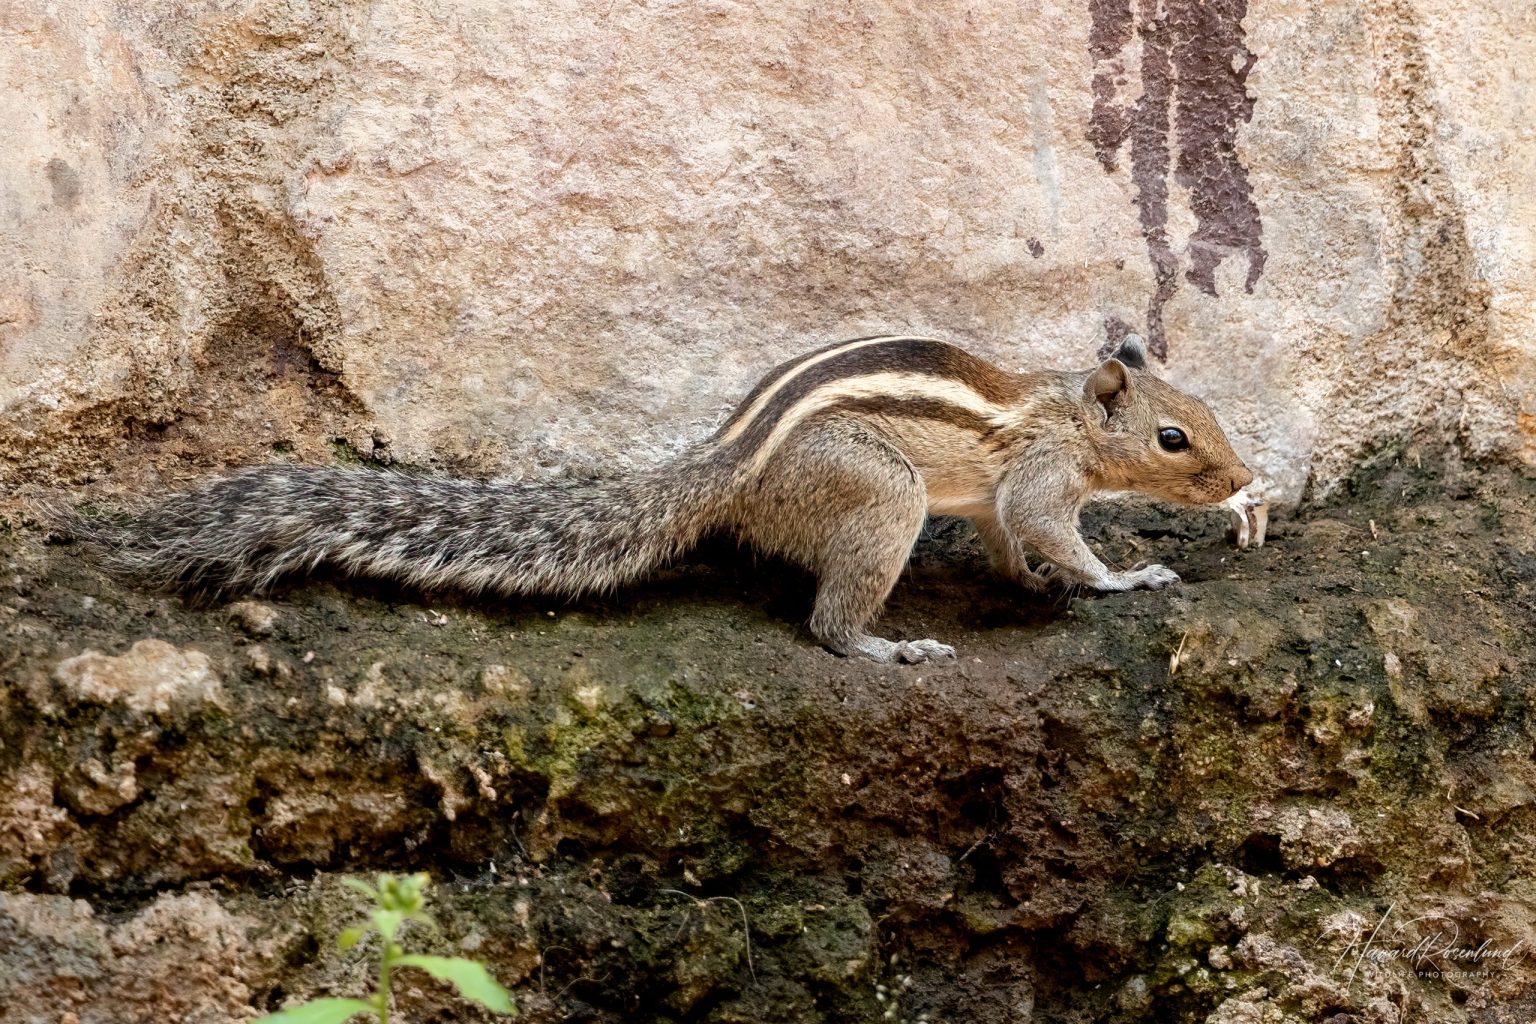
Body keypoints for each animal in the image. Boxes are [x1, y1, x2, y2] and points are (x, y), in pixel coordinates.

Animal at [70, 334, 1253, 664]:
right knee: (826, 621)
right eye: (1174, 436)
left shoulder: (998, 500)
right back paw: (884, 644)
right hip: (884, 497)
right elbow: (1059, 530)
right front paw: (1126, 576)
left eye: (1202, 410)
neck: (1065, 411)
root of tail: (728, 464)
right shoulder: (1042, 480)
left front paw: (1037, 585)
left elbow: (1011, 539)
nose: (1245, 482)